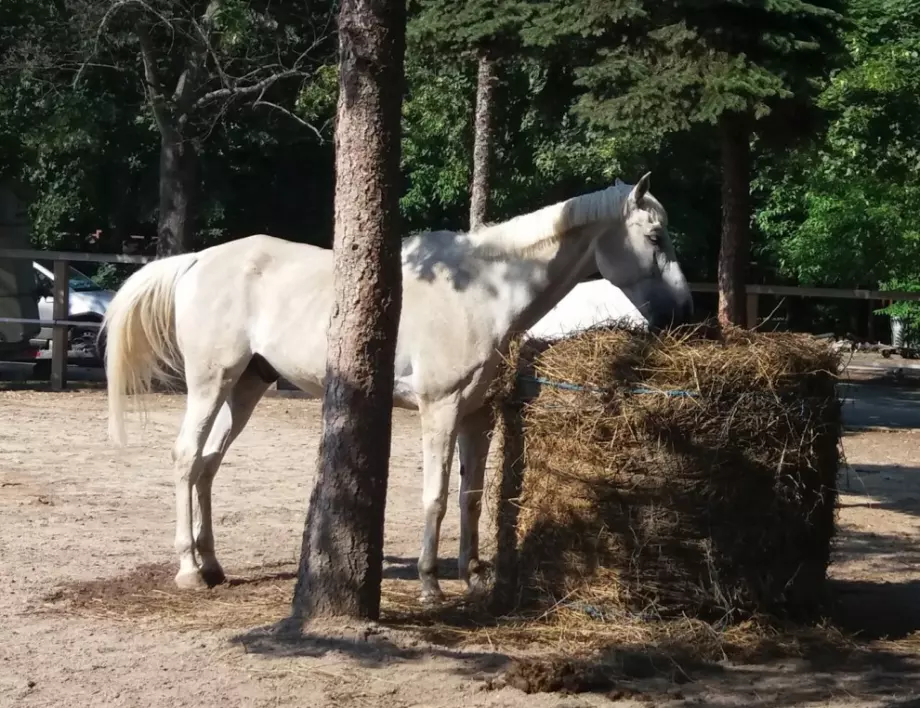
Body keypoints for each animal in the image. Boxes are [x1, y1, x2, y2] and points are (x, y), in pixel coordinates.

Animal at [102, 173, 688, 604]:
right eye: (655, 237)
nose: (682, 313)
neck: (481, 292)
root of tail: (197, 261)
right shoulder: (439, 409)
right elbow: (436, 497)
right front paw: (430, 585)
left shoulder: (477, 416)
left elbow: (471, 497)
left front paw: (472, 576)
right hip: (211, 382)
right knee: (185, 457)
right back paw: (188, 570)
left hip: (247, 386)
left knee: (206, 465)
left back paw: (213, 564)